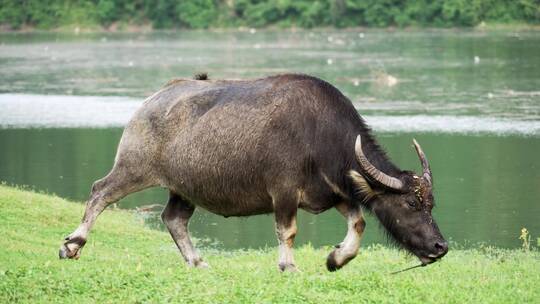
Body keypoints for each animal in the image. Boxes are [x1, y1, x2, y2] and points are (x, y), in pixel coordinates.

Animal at [59, 73, 448, 270]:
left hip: (184, 189)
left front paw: (336, 259)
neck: (320, 133)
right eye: (411, 205)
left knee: (173, 219)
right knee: (99, 192)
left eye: (432, 204)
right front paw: (288, 266)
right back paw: (72, 245)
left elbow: (359, 224)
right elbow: (287, 231)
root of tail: (150, 102)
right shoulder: (284, 192)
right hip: (133, 168)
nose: (440, 246)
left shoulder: (336, 192)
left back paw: (198, 262)